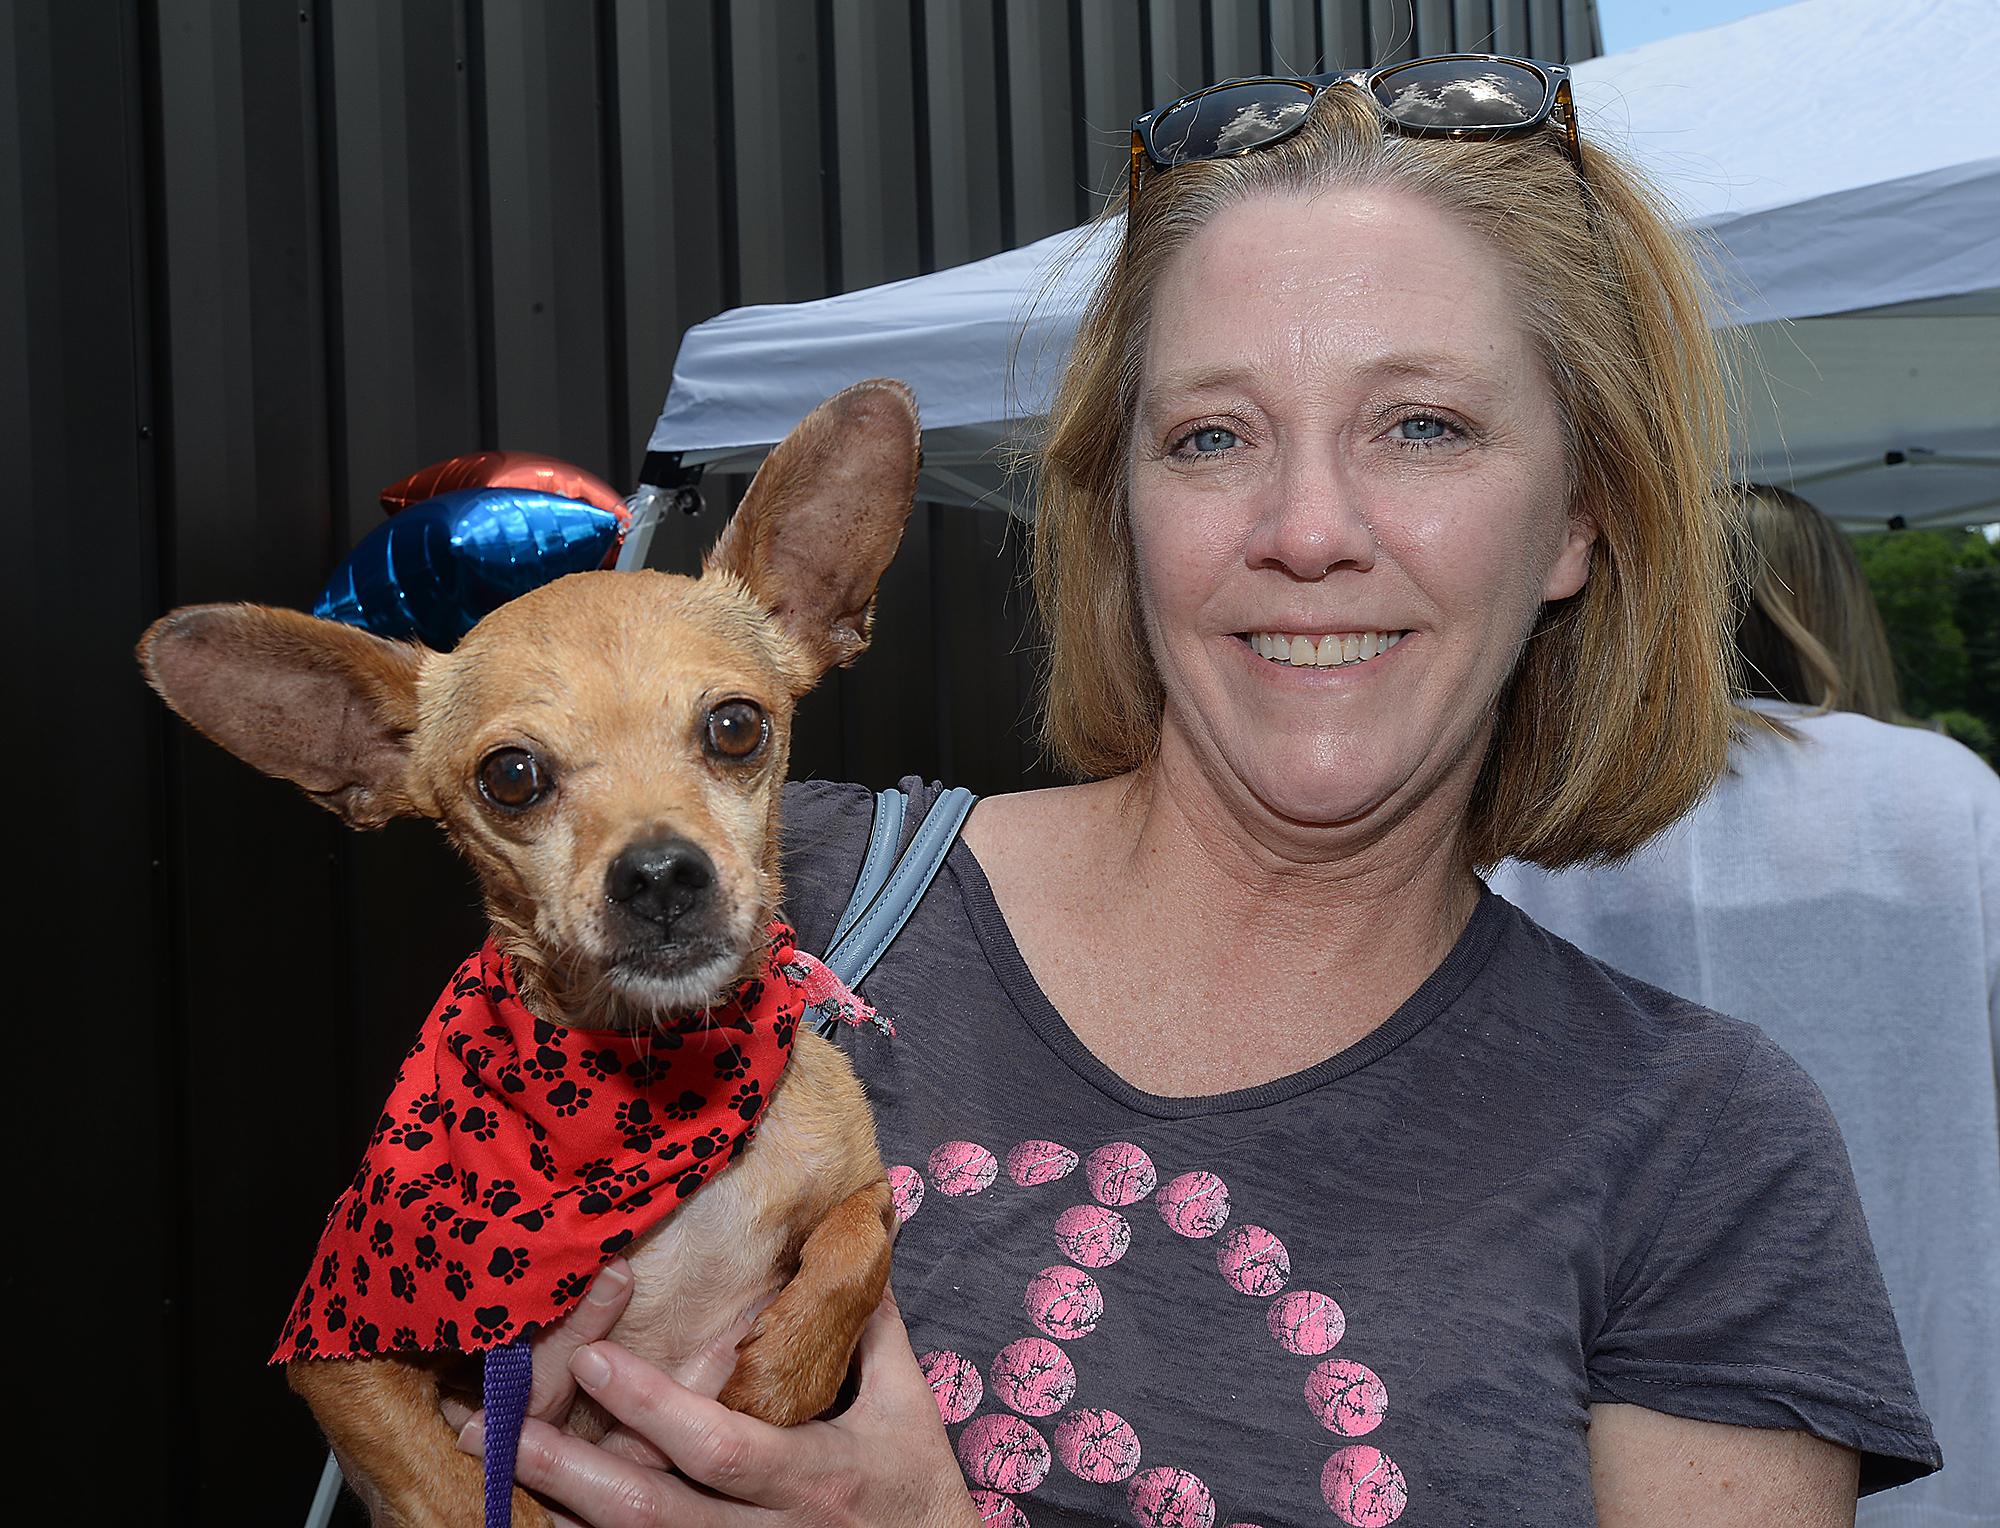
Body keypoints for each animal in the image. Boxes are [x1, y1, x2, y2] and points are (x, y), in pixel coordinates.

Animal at [141, 376, 920, 1520]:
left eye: (737, 726)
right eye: (511, 777)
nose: (659, 874)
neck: (654, 1085)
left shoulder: (859, 1183)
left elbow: (862, 1241)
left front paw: (776, 1384)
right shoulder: (338, 1361)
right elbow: (452, 1487)